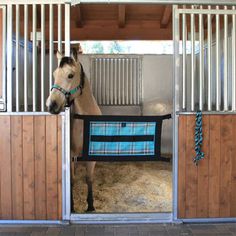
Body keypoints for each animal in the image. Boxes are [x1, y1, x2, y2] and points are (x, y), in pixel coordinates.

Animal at [46, 50, 101, 212]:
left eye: (70, 75)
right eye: (54, 74)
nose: (51, 105)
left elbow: (89, 179)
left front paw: (90, 206)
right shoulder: (70, 154)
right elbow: (71, 180)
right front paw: (71, 207)